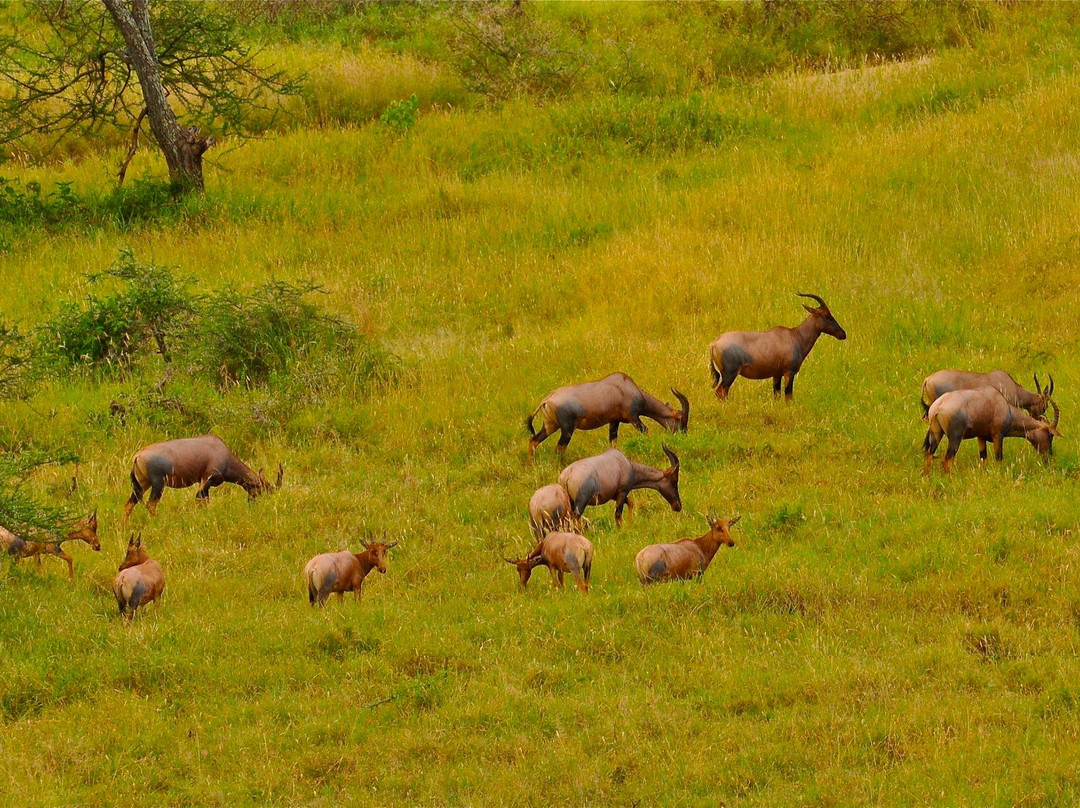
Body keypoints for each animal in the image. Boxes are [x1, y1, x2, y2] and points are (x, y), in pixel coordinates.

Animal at [123, 436, 282, 524]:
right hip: (158, 484)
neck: (221, 450)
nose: (253, 505)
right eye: (261, 490)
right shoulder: (207, 479)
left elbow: (205, 501)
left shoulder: (204, 483)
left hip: (142, 484)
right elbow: (199, 499)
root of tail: (138, 456)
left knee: (130, 503)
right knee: (150, 504)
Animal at [524, 371, 691, 460]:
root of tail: (548, 399)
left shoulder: (614, 421)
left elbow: (613, 442)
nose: (684, 436)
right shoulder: (633, 418)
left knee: (534, 440)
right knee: (559, 448)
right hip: (567, 429)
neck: (626, 386)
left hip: (550, 426)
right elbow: (646, 431)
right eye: (681, 420)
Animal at [712, 293, 846, 401]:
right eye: (826, 315)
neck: (794, 336)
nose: (843, 334)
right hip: (730, 374)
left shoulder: (776, 374)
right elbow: (788, 395)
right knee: (720, 392)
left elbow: (777, 395)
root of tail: (715, 343)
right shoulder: (789, 372)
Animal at [920, 386, 1062, 473]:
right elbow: (999, 458)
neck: (1002, 404)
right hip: (955, 437)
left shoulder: (981, 437)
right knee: (947, 460)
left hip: (936, 433)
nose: (1048, 457)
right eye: (1050, 435)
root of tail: (938, 406)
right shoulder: (998, 436)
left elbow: (984, 459)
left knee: (929, 454)